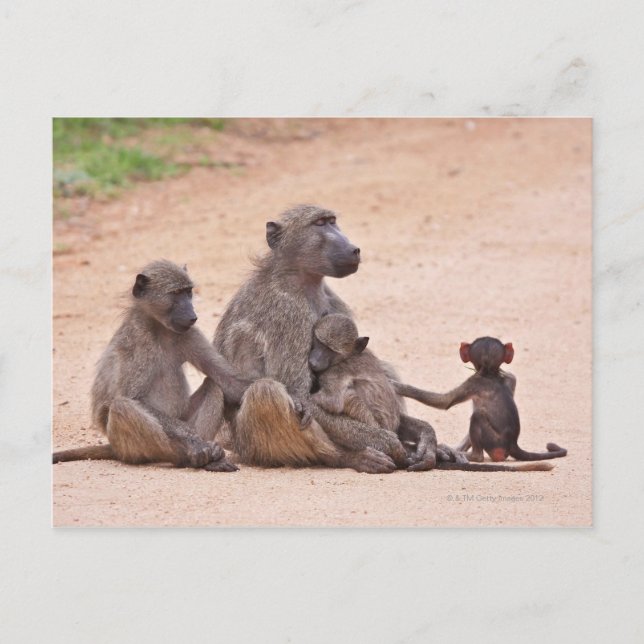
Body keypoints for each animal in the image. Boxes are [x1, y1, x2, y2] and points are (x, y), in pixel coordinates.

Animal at [53, 260, 252, 472]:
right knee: (122, 406)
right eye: (176, 293)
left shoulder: (189, 333)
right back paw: (188, 454)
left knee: (214, 385)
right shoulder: (139, 341)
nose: (192, 316)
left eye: (188, 292)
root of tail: (113, 446)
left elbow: (230, 382)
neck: (159, 327)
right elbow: (134, 398)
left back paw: (210, 459)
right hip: (127, 446)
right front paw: (193, 441)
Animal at [189, 205, 436, 474]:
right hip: (248, 446)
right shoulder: (289, 312)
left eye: (332, 221)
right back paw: (350, 457)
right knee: (266, 392)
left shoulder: (333, 302)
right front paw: (390, 442)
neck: (299, 279)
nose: (354, 249)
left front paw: (426, 438)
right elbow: (300, 396)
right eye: (319, 224)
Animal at [394, 336, 567, 464]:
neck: (490, 373)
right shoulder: (510, 377)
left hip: (494, 443)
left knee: (478, 416)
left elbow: (445, 402)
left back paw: (473, 457)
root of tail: (513, 444)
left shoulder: (473, 381)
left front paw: (398, 386)